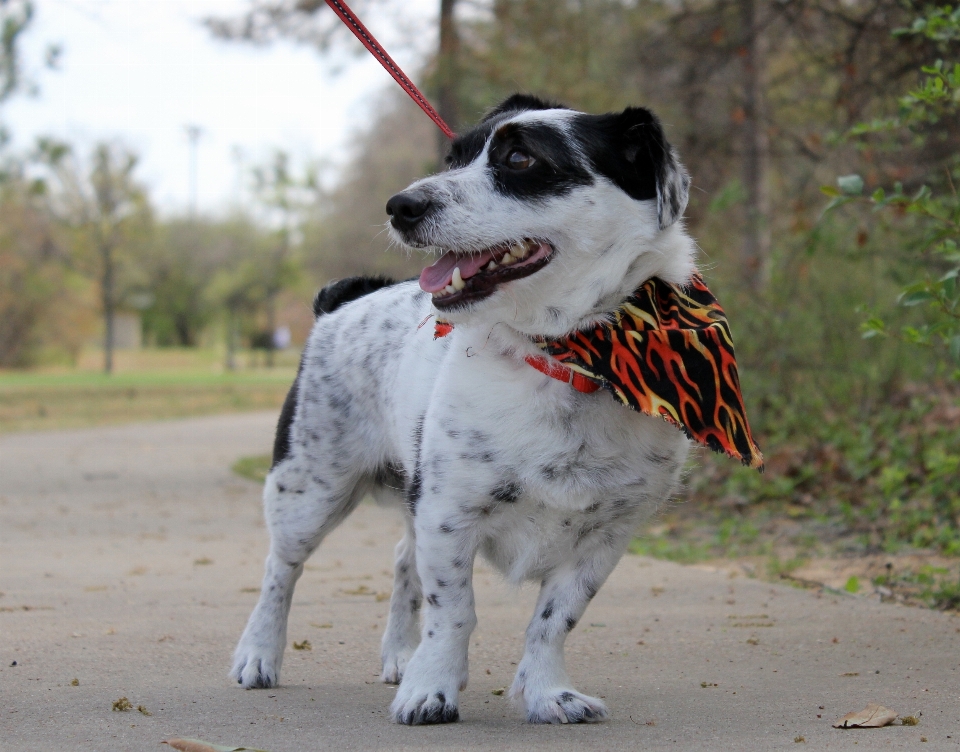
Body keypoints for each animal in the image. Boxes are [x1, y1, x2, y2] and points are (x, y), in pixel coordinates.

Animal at [232, 92, 696, 724]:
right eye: (453, 157)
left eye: (520, 158)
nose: (402, 205)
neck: (565, 357)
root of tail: (343, 300)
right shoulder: (450, 513)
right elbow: (453, 611)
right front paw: (432, 689)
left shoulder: (606, 536)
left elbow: (553, 621)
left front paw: (546, 692)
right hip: (308, 489)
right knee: (280, 569)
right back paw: (259, 655)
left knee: (402, 560)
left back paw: (400, 655)